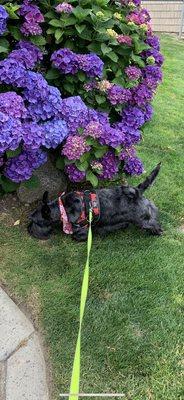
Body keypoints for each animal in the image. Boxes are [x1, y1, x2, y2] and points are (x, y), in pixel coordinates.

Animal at [27, 163, 162, 241]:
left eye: (35, 221)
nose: (28, 229)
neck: (62, 208)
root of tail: (138, 191)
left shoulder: (83, 229)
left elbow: (76, 236)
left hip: (142, 219)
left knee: (153, 223)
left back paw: (157, 232)